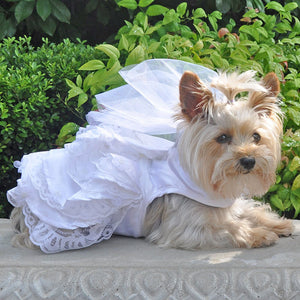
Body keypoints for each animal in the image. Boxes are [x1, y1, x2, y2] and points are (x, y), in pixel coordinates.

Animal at [8, 67, 292, 251]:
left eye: (256, 137)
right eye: (222, 138)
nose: (248, 161)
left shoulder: (225, 203)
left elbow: (249, 210)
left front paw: (277, 223)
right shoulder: (184, 228)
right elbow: (231, 228)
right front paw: (260, 234)